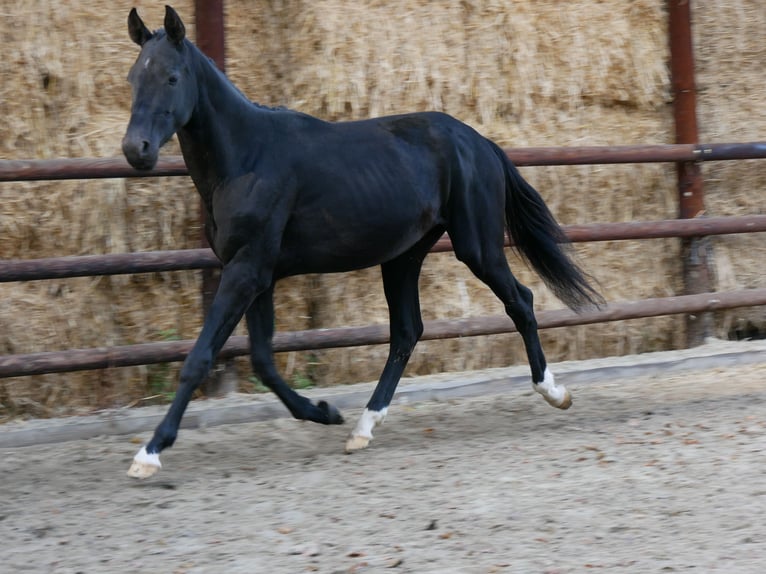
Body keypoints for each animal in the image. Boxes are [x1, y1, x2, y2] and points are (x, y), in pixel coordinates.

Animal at [123, 6, 604, 480]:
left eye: (172, 77)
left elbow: (199, 358)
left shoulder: (247, 271)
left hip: (477, 247)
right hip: (404, 258)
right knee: (407, 332)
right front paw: (323, 411)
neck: (248, 158)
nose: (136, 149)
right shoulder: (256, 273)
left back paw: (554, 392)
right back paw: (362, 427)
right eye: (132, 78)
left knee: (519, 301)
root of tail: (480, 142)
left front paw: (149, 452)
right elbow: (262, 359)